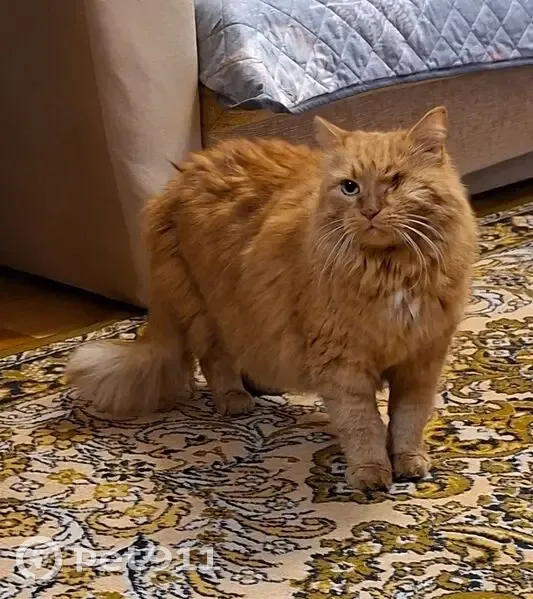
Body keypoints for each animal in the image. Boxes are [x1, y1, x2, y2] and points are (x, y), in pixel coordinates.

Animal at [66, 106, 478, 491]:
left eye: (395, 181)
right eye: (350, 187)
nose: (370, 211)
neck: (390, 271)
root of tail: (181, 175)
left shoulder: (422, 359)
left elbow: (408, 419)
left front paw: (408, 461)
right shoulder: (344, 364)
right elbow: (364, 425)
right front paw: (372, 472)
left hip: (247, 311)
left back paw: (263, 386)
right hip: (206, 307)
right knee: (215, 359)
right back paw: (235, 399)